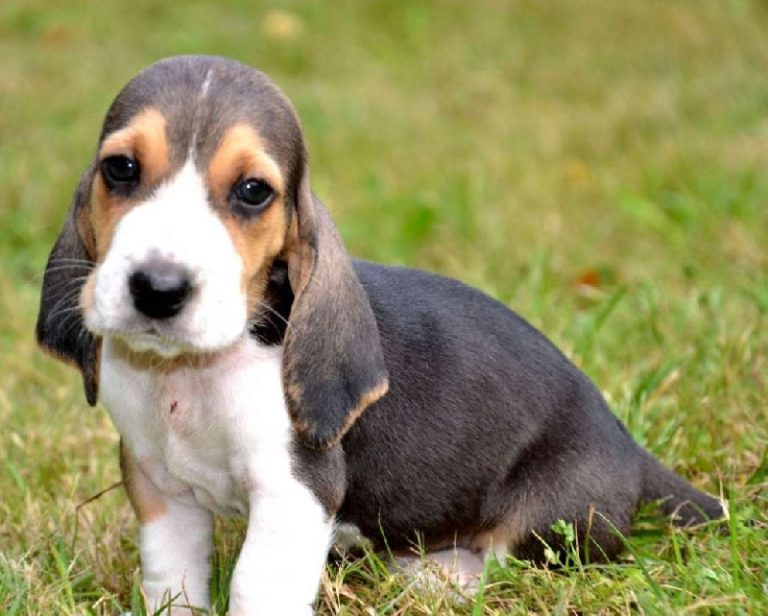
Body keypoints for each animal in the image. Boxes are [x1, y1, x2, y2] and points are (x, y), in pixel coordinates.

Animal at [34, 55, 720, 612]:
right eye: (120, 168)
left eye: (253, 191)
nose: (158, 287)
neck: (192, 371)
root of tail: (630, 448)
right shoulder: (159, 488)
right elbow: (171, 578)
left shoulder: (294, 494)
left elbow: (257, 586)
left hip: (548, 522)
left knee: (513, 564)